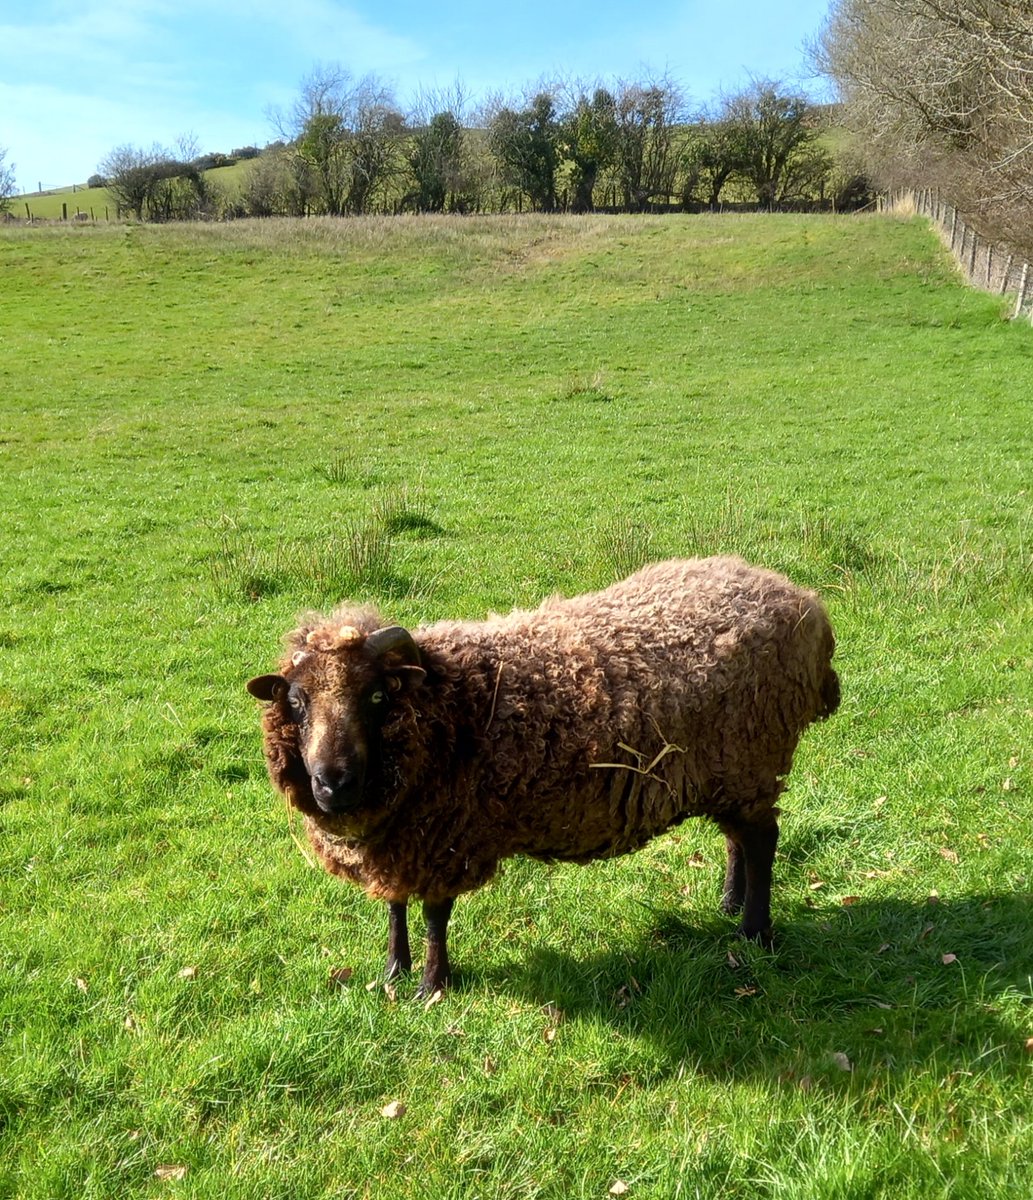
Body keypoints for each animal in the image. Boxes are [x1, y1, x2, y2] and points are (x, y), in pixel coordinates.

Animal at [248, 556, 839, 998]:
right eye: (296, 702)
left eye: (375, 697)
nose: (333, 784)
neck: (446, 704)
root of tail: (803, 601)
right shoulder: (401, 837)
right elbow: (395, 905)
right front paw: (394, 970)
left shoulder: (447, 835)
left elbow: (435, 914)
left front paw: (433, 985)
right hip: (726, 770)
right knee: (738, 838)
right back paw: (729, 903)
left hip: (753, 756)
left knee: (762, 840)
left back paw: (755, 932)